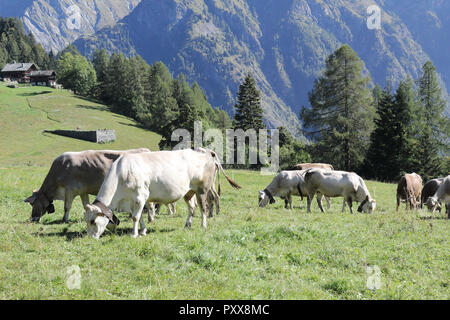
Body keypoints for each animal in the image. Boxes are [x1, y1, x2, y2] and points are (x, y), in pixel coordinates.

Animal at [83, 148, 241, 238]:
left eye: (93, 221)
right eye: (86, 220)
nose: (90, 237)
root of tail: (208, 153)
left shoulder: (140, 196)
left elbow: (135, 217)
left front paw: (134, 234)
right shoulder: (136, 200)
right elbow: (140, 216)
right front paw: (143, 231)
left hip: (202, 189)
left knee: (204, 207)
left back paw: (203, 225)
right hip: (188, 191)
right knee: (192, 207)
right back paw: (187, 224)